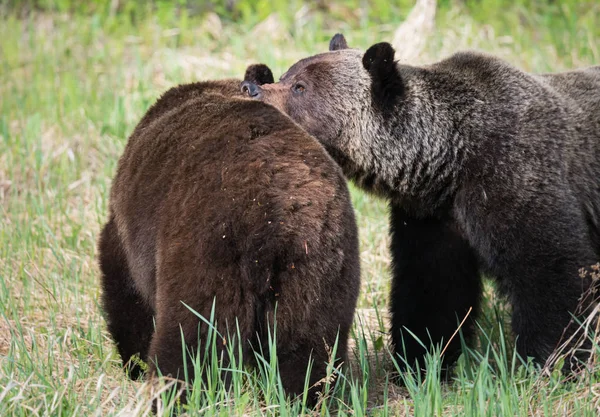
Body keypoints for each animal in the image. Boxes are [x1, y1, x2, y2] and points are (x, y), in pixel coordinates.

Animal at [97, 75, 360, 404]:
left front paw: (133, 362)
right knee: (308, 345)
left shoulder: (128, 229)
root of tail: (276, 211)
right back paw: (306, 398)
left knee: (194, 337)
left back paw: (179, 396)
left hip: (208, 252)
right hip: (318, 266)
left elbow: (126, 293)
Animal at [241, 35, 600, 374]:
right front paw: (421, 359)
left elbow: (553, 273)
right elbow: (432, 290)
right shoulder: (431, 217)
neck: (452, 161)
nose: (251, 88)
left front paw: (551, 360)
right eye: (286, 74)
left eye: (300, 87)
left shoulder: (513, 176)